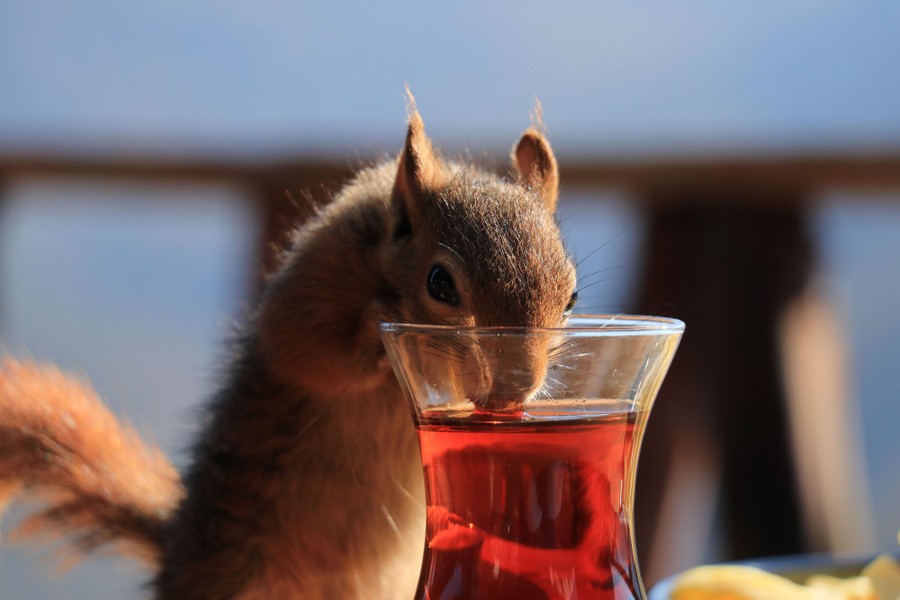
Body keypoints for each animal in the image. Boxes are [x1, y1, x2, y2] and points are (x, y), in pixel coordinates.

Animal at [0, 96, 578, 599]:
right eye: (440, 283)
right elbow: (304, 348)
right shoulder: (314, 282)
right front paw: (374, 325)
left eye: (572, 297)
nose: (516, 386)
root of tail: (179, 556)